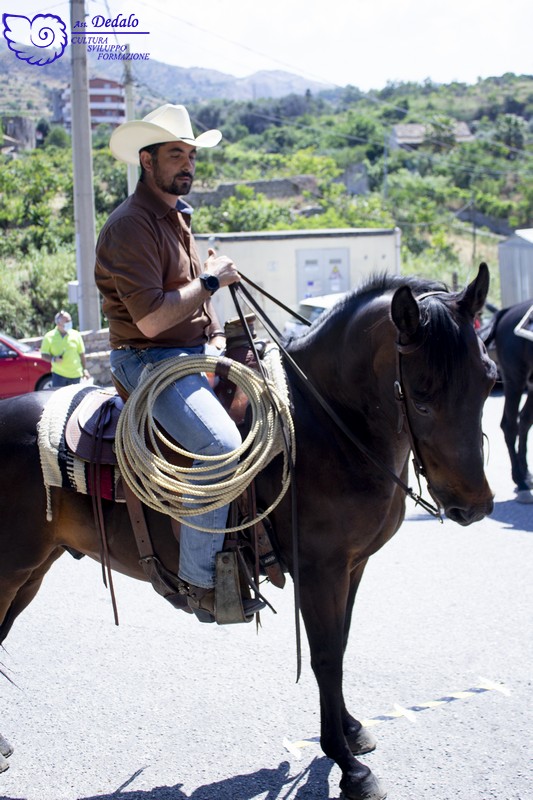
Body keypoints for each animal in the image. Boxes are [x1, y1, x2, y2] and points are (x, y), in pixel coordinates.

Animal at [2, 264, 496, 800]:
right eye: (421, 399)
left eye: (490, 380)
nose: (474, 505)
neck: (325, 425)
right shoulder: (320, 571)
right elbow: (325, 657)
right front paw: (347, 764)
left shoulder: (354, 565)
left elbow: (341, 645)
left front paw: (350, 730)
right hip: (11, 572)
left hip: (31, 573)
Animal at [480, 300, 532, 500]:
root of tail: (507, 311)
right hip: (515, 379)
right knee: (510, 425)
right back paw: (521, 481)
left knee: (524, 421)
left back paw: (525, 473)